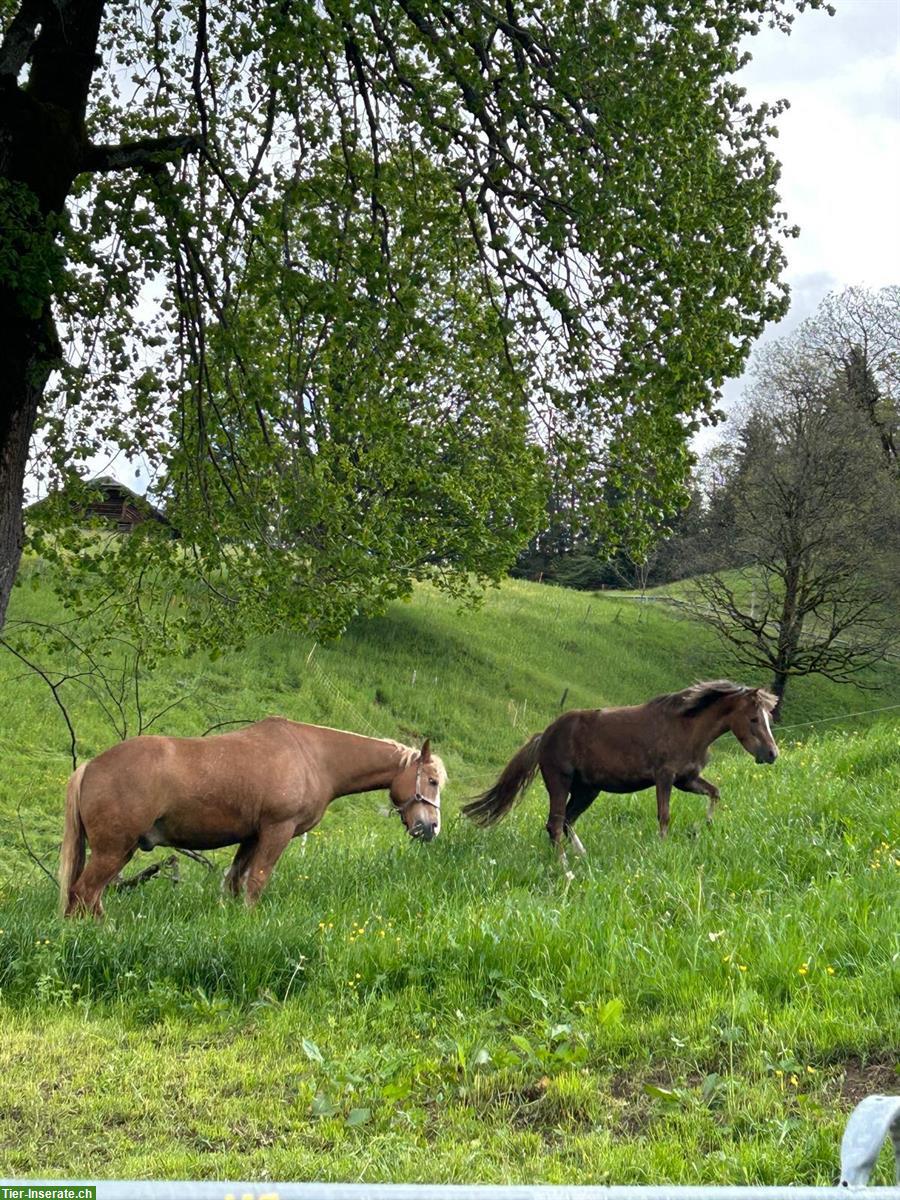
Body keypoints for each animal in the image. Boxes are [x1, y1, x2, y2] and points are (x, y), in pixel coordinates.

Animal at [60, 715, 448, 912]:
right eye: (431, 780)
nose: (430, 828)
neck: (312, 756)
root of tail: (91, 767)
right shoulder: (277, 831)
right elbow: (256, 881)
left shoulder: (251, 836)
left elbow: (234, 881)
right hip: (113, 851)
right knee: (84, 892)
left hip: (120, 851)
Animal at [465, 681, 777, 859]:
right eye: (753, 718)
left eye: (768, 717)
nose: (772, 754)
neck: (687, 727)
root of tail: (546, 734)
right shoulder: (665, 778)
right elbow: (664, 816)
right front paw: (662, 849)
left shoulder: (688, 780)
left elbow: (715, 793)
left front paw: (703, 827)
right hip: (559, 783)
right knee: (554, 824)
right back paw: (564, 866)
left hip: (587, 790)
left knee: (567, 821)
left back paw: (582, 855)